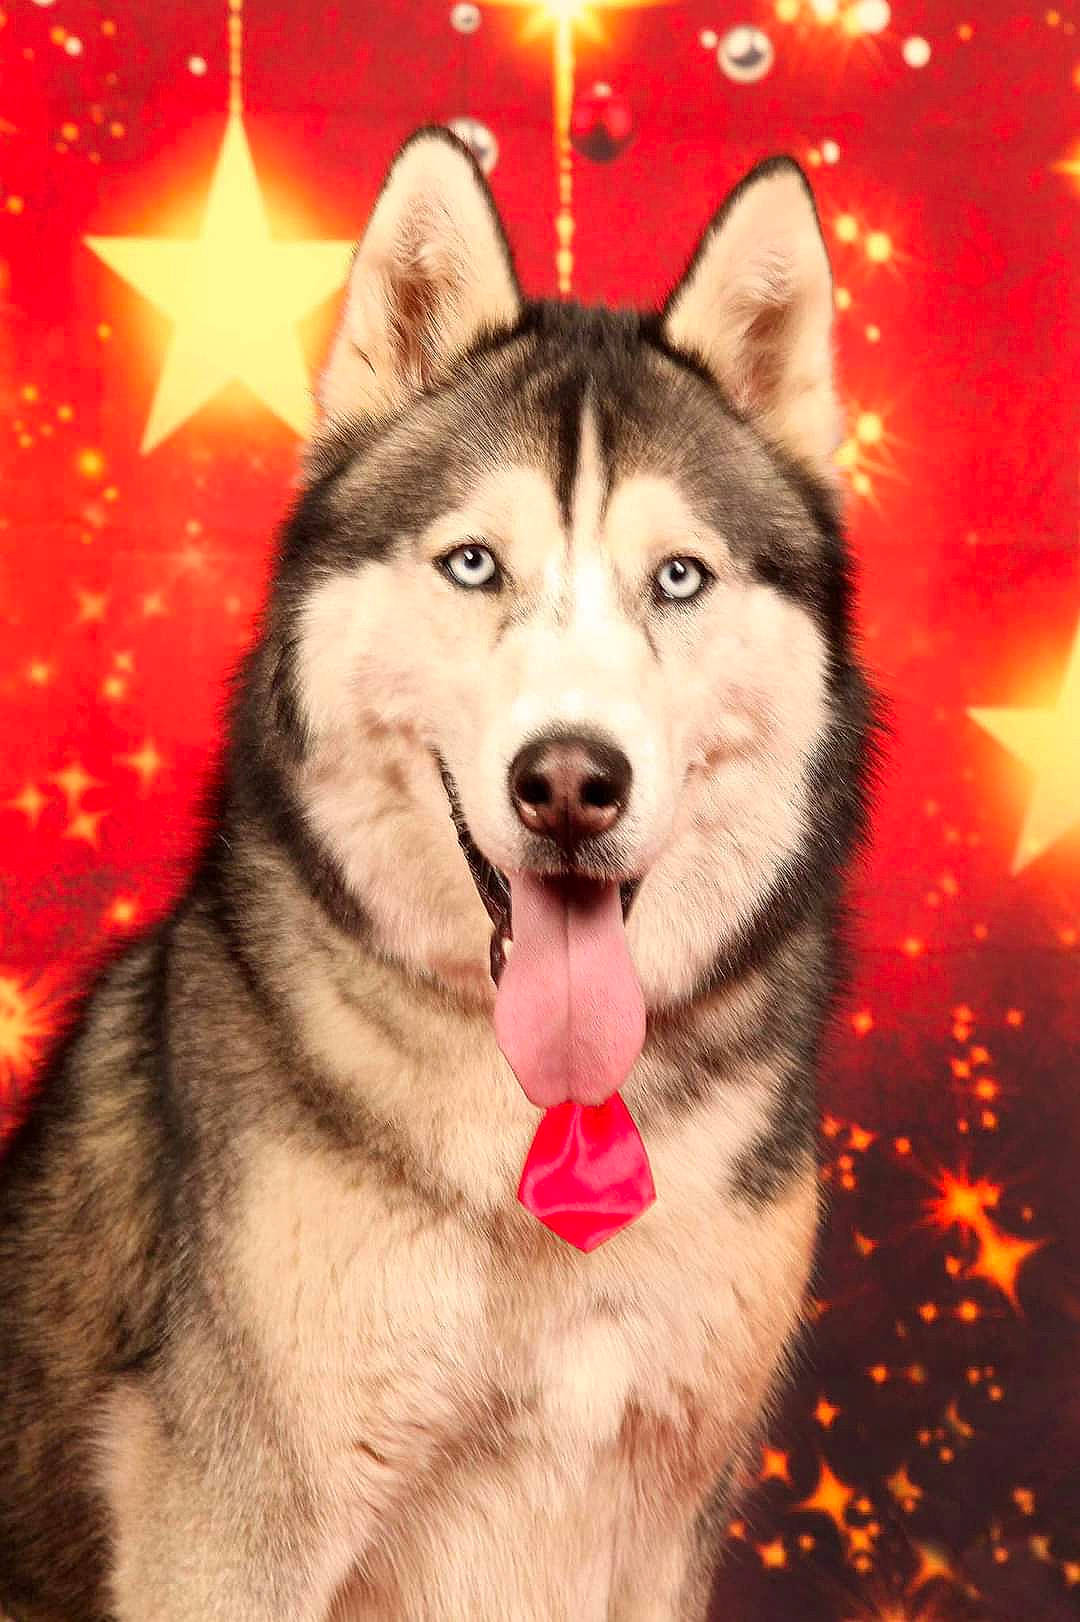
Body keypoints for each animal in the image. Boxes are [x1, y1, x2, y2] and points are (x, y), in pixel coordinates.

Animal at [0, 128, 877, 1621]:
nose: (570, 779)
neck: (545, 1116)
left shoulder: (664, 1514)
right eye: (474, 562)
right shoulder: (233, 1525)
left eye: (680, 577)